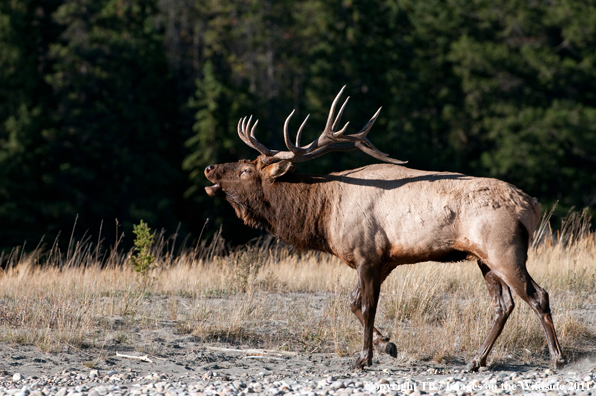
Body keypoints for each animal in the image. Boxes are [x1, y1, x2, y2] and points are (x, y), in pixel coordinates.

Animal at [206, 86, 568, 372]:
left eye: (245, 170)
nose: (210, 168)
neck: (324, 214)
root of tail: (532, 205)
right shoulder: (383, 259)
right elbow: (353, 303)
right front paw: (387, 345)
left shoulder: (367, 253)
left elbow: (366, 306)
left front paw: (363, 358)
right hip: (482, 257)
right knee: (503, 304)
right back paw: (476, 361)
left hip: (504, 248)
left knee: (537, 295)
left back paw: (557, 358)